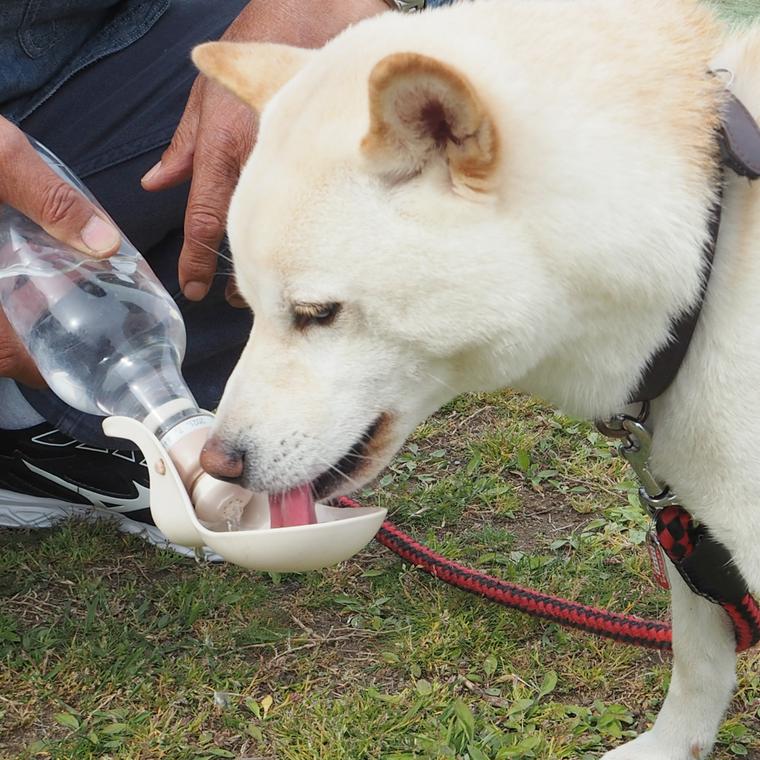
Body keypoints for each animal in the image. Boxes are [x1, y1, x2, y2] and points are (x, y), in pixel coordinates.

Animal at [193, 2, 756, 756]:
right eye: (246, 307)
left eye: (316, 313)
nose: (215, 463)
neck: (704, 264)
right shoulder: (694, 534)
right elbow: (698, 663)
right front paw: (668, 750)